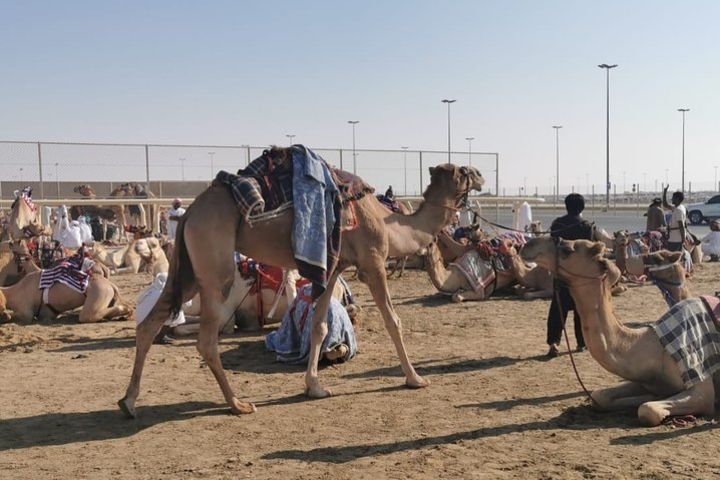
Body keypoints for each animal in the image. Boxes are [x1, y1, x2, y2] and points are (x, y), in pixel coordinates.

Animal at [119, 147, 484, 420]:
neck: (388, 221)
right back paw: (237, 404)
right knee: (207, 339)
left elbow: (319, 326)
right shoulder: (373, 262)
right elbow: (393, 320)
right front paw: (415, 378)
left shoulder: (333, 266)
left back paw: (129, 402)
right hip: (215, 270)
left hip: (189, 271)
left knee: (149, 323)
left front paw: (314, 387)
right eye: (462, 171)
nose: (480, 174)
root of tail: (191, 212)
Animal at [524, 237, 720, 428]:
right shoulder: (645, 381)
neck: (654, 348)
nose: (528, 245)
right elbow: (599, 397)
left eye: (567, 250)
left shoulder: (700, 383)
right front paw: (652, 396)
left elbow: (648, 410)